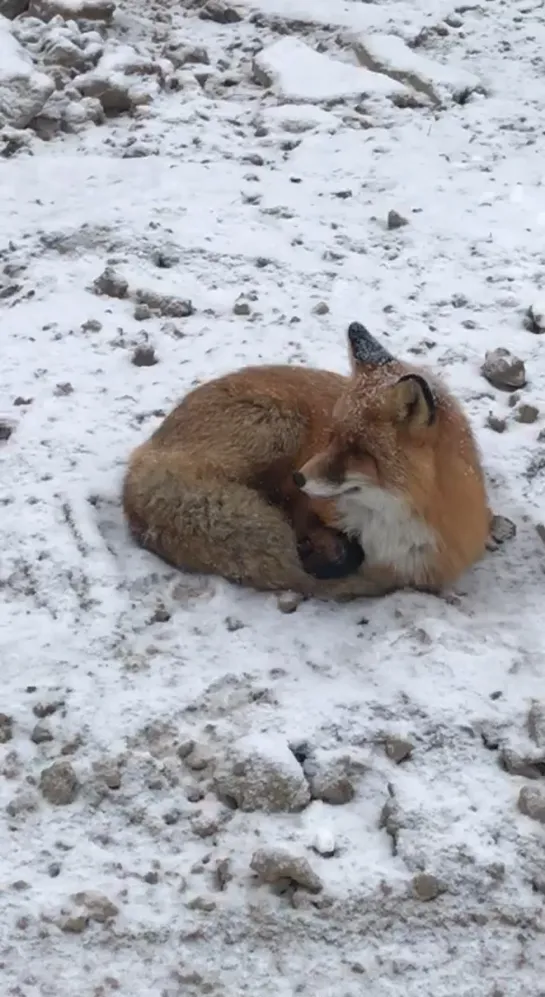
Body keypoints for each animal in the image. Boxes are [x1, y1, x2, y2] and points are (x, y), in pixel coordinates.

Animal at [123, 322, 488, 596]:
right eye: (331, 436)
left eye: (358, 451)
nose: (299, 477)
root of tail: (145, 454)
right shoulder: (304, 503)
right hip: (280, 427)